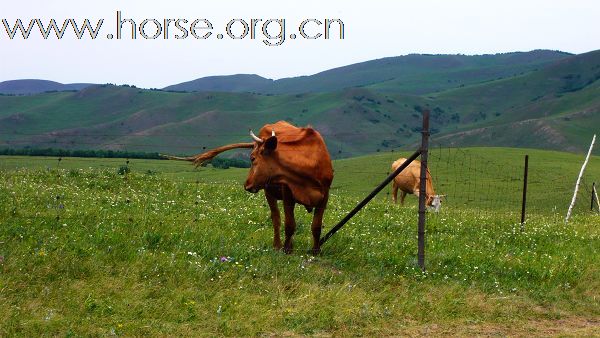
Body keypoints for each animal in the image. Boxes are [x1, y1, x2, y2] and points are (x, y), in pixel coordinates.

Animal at [164, 121, 332, 254]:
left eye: (252, 158)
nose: (247, 184)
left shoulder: (325, 195)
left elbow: (316, 226)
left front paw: (316, 251)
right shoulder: (288, 194)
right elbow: (290, 224)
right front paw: (286, 250)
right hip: (268, 191)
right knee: (276, 219)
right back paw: (278, 245)